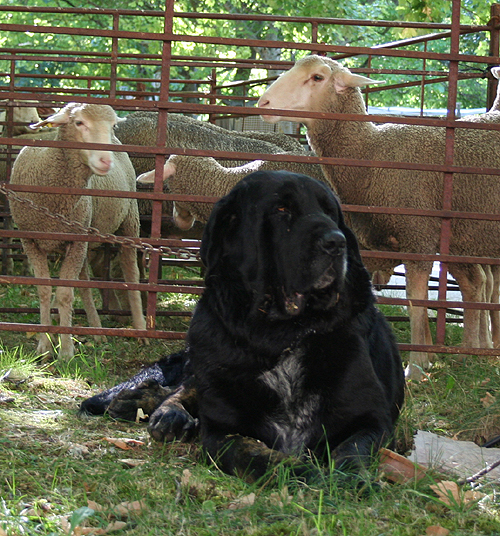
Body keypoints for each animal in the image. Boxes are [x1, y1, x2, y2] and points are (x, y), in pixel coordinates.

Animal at [9, 102, 146, 358]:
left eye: (112, 125)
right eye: (79, 122)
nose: (106, 161)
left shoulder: (75, 241)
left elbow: (65, 293)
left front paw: (66, 350)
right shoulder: (31, 240)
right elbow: (44, 291)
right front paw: (44, 346)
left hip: (129, 219)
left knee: (130, 270)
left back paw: (141, 329)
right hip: (85, 234)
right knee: (84, 279)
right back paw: (97, 331)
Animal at [80, 171, 404, 482]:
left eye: (330, 212)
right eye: (281, 209)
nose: (337, 242)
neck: (281, 332)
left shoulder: (370, 419)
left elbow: (351, 451)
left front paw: (348, 479)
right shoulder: (221, 430)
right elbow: (256, 456)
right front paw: (305, 474)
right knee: (180, 391)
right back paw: (155, 410)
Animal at [258, 54, 500, 378]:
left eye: (318, 77)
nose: (264, 103)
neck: (370, 155)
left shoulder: (417, 236)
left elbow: (415, 300)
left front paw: (417, 366)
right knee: (476, 283)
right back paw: (473, 352)